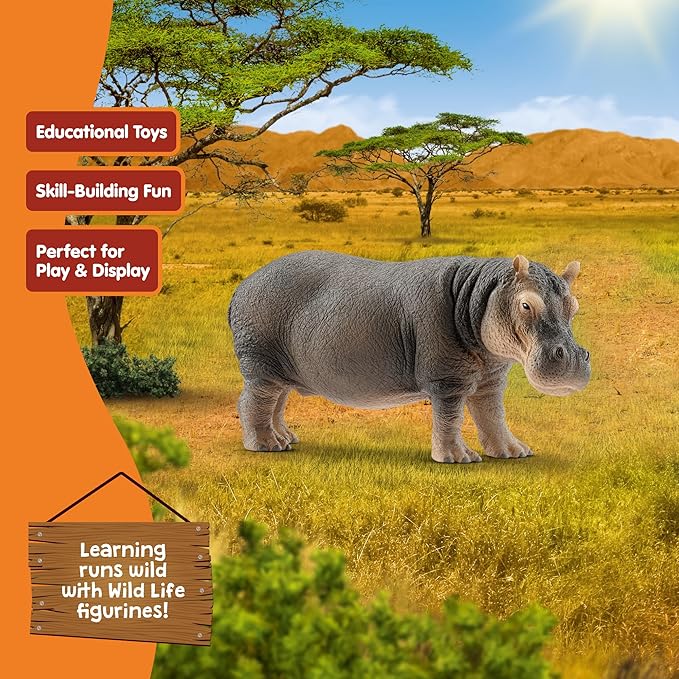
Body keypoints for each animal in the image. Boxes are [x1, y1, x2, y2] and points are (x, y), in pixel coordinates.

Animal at [228, 251, 590, 463]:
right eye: (526, 304)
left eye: (574, 305)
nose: (574, 358)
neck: (481, 293)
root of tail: (243, 285)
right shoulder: (447, 379)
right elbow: (450, 418)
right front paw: (458, 458)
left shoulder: (490, 377)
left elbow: (493, 416)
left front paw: (515, 452)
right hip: (261, 363)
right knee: (253, 401)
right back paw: (267, 446)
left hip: (281, 368)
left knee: (276, 402)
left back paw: (287, 438)